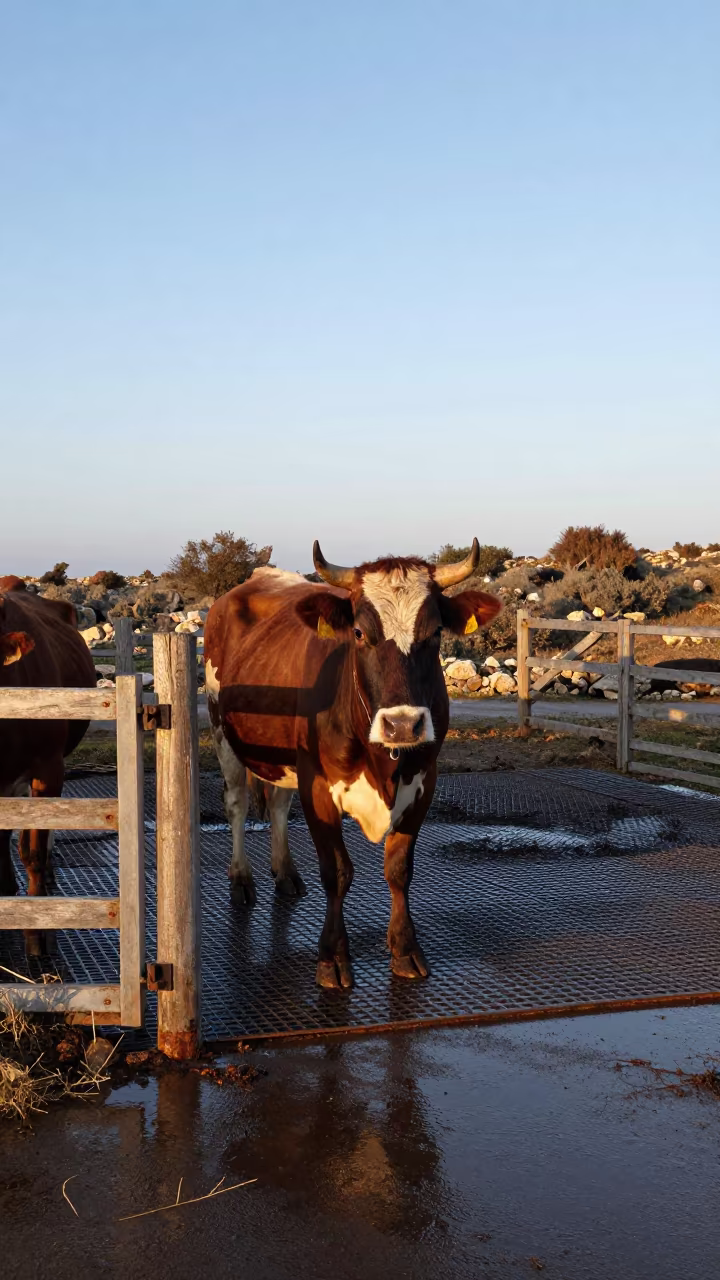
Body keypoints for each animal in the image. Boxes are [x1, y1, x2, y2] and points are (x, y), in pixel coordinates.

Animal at [204, 540, 501, 990]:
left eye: (435, 633)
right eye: (359, 634)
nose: (402, 724)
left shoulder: (423, 783)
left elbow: (399, 869)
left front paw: (405, 949)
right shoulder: (317, 787)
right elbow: (337, 872)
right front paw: (332, 957)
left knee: (277, 805)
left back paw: (285, 873)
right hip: (224, 732)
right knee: (237, 803)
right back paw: (241, 878)